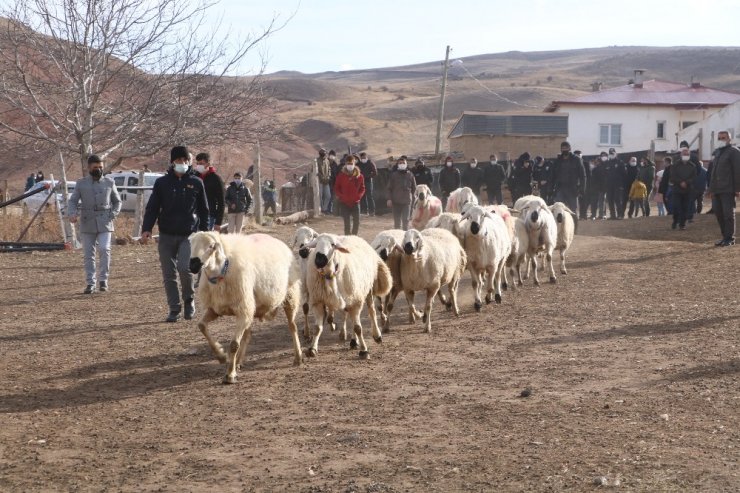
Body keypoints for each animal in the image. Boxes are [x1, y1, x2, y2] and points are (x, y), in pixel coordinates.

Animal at [189, 231, 302, 384]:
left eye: (211, 246)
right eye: (191, 244)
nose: (193, 265)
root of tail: (280, 243)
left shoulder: (242, 311)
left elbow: (233, 345)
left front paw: (230, 375)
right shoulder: (215, 309)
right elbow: (201, 326)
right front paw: (221, 356)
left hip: (290, 295)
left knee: (292, 326)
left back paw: (298, 357)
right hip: (251, 306)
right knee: (248, 334)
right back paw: (238, 362)